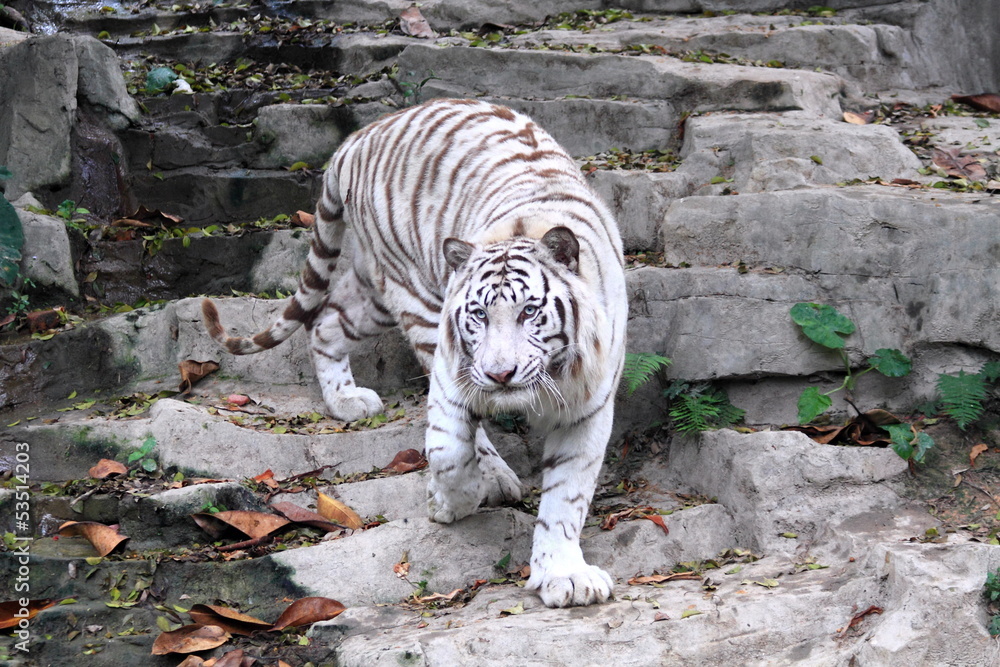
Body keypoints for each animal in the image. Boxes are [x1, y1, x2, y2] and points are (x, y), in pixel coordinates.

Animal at [202, 98, 624, 604]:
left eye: (529, 312)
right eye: (479, 314)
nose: (500, 374)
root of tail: (357, 138)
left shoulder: (587, 406)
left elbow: (567, 497)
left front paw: (564, 575)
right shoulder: (451, 373)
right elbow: (450, 452)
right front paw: (451, 503)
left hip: (373, 291)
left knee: (324, 323)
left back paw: (346, 400)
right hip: (412, 294)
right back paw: (491, 475)